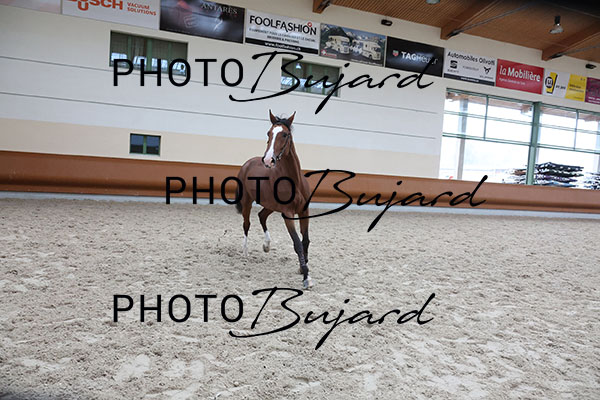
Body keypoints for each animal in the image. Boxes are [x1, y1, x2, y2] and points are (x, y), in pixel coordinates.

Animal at [235, 110, 313, 289]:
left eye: (285, 134)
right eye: (268, 133)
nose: (268, 160)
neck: (295, 181)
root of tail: (247, 163)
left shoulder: (304, 211)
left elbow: (305, 241)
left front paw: (302, 269)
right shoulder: (288, 214)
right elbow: (297, 243)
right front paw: (306, 278)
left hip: (270, 205)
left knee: (262, 216)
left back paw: (266, 245)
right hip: (247, 203)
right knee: (246, 224)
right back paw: (245, 252)